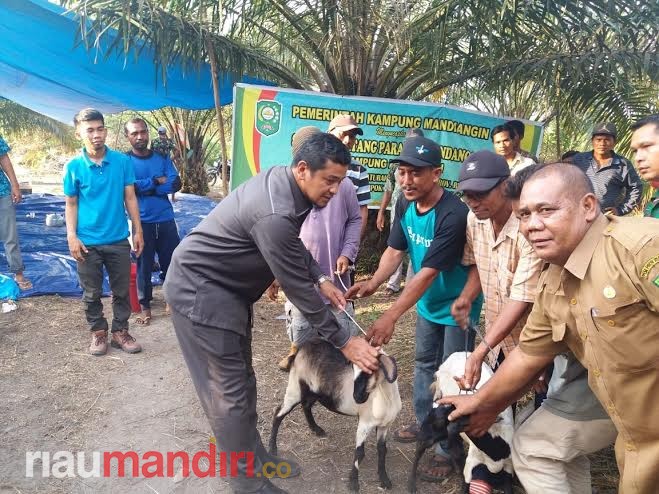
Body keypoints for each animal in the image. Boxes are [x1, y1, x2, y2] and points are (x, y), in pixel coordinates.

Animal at [268, 342, 402, 492]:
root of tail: (303, 346)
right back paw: (272, 448)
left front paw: (385, 480)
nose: (356, 397)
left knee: (306, 405)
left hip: (314, 391)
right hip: (295, 387)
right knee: (278, 413)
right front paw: (353, 484)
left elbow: (382, 450)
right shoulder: (364, 423)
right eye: (354, 371)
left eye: (369, 371)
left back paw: (316, 429)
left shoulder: (385, 425)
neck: (385, 398)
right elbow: (360, 453)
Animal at [408, 352, 516, 494]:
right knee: (419, 451)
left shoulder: (509, 465)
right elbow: (465, 485)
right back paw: (412, 484)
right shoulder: (471, 464)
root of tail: (454, 355)